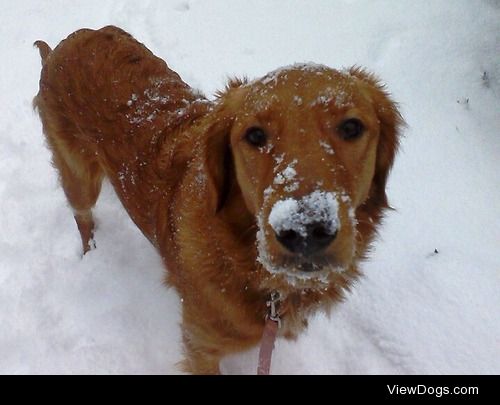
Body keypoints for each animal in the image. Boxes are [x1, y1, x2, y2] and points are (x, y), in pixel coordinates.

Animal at [34, 25, 402, 372]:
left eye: (351, 128)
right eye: (254, 135)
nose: (305, 231)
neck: (243, 260)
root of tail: (67, 43)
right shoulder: (199, 346)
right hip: (79, 177)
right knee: (82, 217)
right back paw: (91, 253)